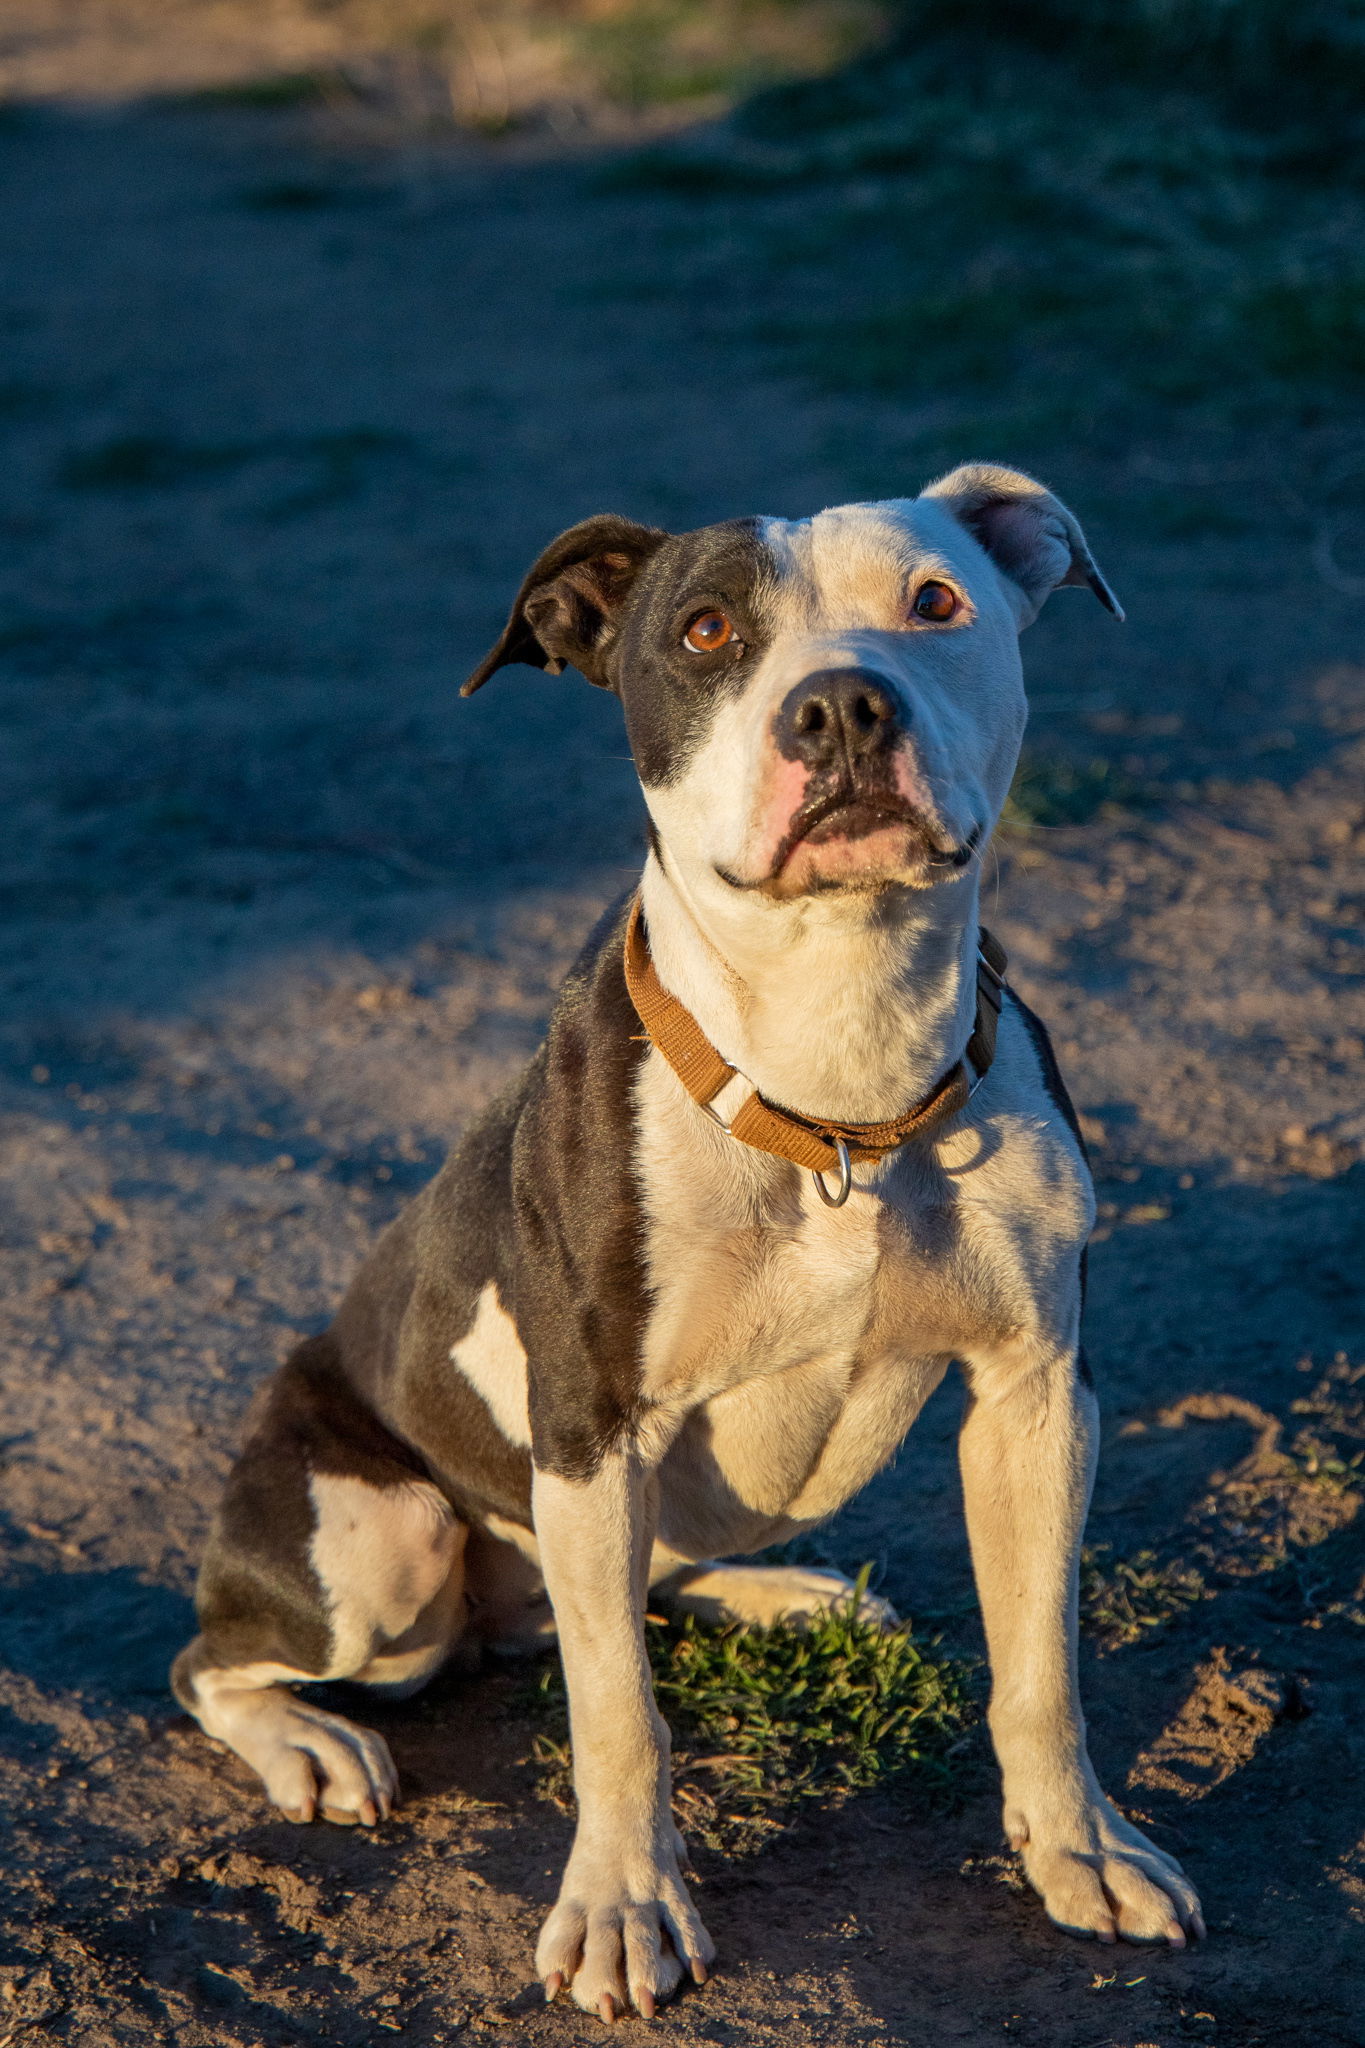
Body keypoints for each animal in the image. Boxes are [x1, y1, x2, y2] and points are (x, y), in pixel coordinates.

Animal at [173, 471, 1203, 2023]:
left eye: (935, 603)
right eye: (707, 631)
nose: (840, 707)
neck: (837, 1089)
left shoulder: (1035, 1394)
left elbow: (1040, 1667)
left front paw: (1079, 1850)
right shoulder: (591, 1425)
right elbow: (621, 1717)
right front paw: (623, 1909)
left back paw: (781, 1590)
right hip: (381, 1548)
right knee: (216, 1660)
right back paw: (312, 1742)